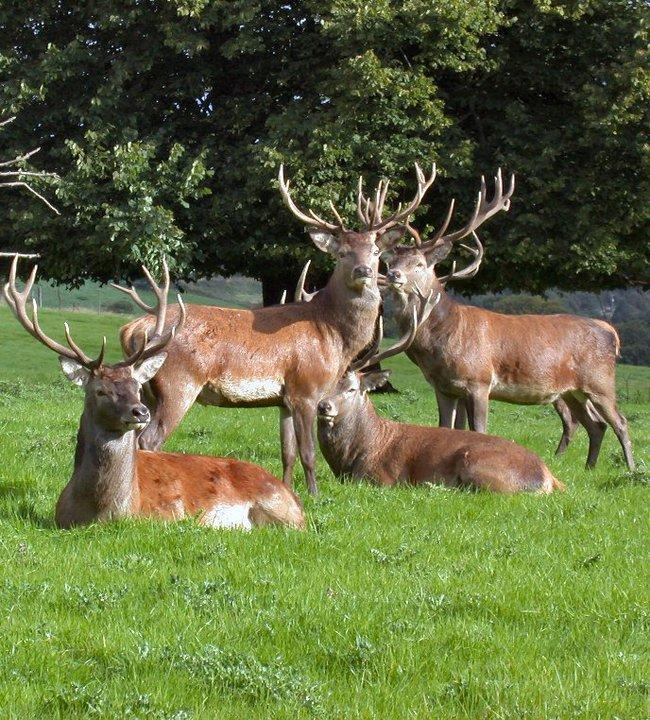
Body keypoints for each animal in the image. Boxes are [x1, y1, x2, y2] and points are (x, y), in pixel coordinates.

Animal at [3, 255, 304, 528]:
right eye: (100, 391)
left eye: (136, 387)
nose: (140, 411)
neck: (104, 513)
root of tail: (294, 497)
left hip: (277, 507)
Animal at [116, 162, 436, 496]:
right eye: (342, 252)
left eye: (374, 250)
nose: (364, 271)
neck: (331, 334)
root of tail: (133, 330)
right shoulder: (306, 388)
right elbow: (308, 452)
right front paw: (314, 494)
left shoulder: (284, 400)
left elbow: (288, 452)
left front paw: (285, 489)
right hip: (178, 382)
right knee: (149, 439)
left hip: (148, 389)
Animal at [316, 300, 560, 492]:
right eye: (323, 385)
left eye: (351, 388)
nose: (323, 406)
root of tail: (549, 477)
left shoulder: (381, 478)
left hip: (478, 466)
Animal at [382, 171, 632, 470]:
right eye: (391, 261)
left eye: (420, 264)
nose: (394, 275)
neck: (444, 338)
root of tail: (612, 332)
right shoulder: (443, 387)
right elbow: (445, 427)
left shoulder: (479, 381)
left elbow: (479, 430)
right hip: (573, 390)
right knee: (595, 425)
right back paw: (589, 468)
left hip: (600, 381)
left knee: (620, 422)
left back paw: (631, 469)